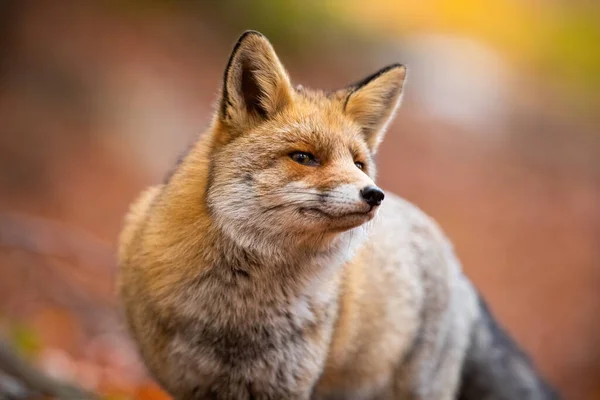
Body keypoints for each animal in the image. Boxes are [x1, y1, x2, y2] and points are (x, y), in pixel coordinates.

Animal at [116, 31, 556, 400]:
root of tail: (450, 255)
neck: (234, 315)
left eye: (359, 163)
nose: (374, 194)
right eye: (304, 157)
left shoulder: (284, 387)